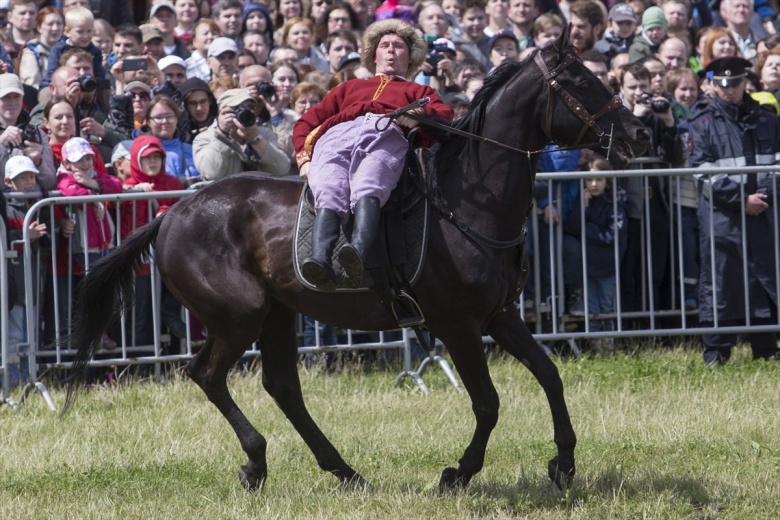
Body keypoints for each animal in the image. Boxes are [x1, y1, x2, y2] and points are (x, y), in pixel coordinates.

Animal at [64, 35, 648, 492]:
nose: (638, 133)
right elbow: (487, 403)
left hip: (277, 313)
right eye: (581, 80)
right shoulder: (456, 324)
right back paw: (257, 460)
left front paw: (564, 463)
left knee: (282, 386)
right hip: (240, 315)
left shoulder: (499, 317)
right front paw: (458, 473)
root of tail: (171, 214)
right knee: (207, 374)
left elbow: (549, 375)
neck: (464, 200)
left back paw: (341, 470)